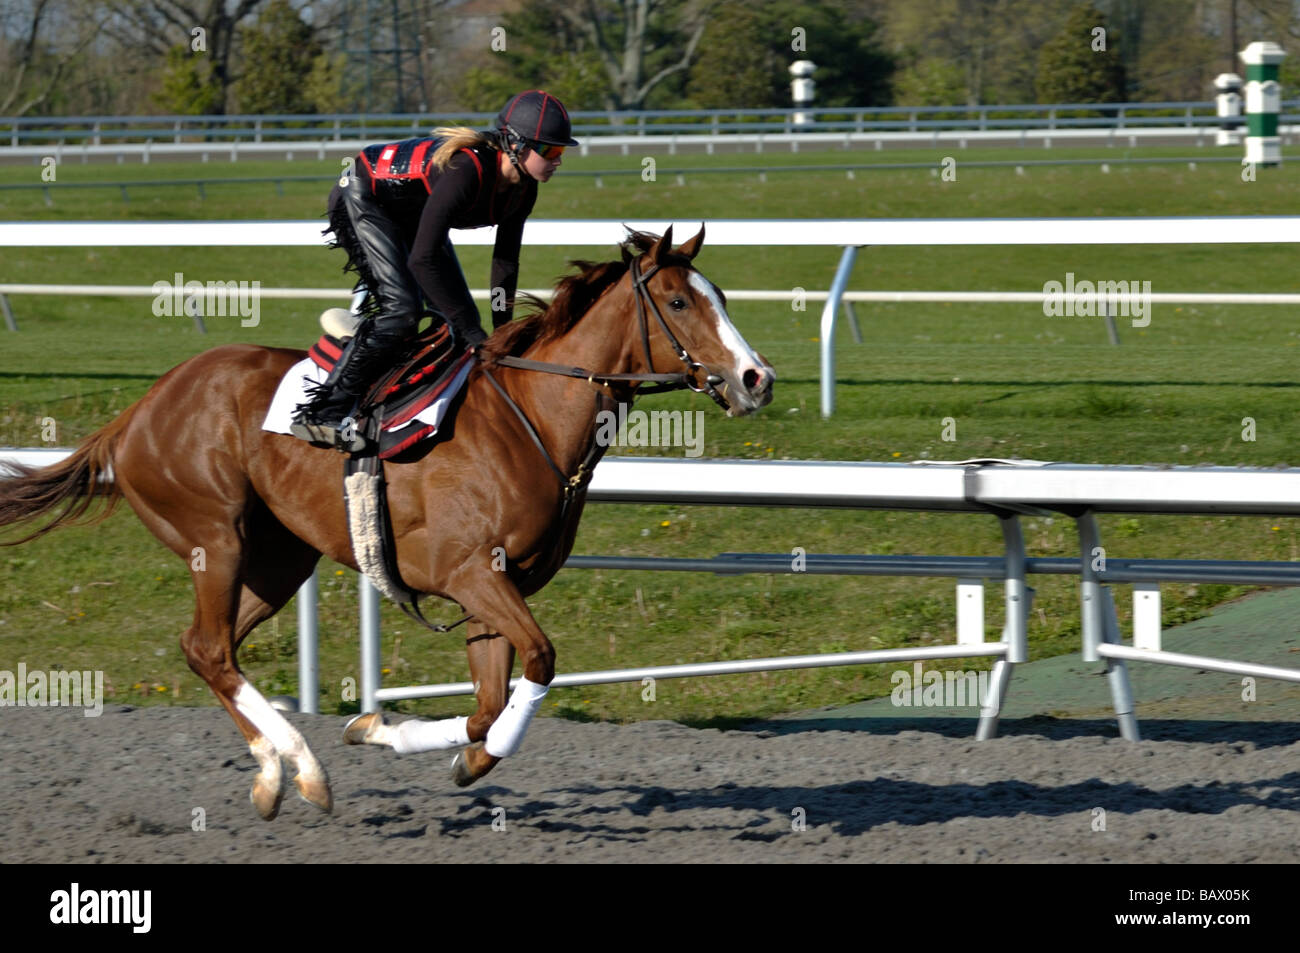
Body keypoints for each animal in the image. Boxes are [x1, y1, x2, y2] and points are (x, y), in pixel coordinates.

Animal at [0, 226, 775, 820]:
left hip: (279, 557)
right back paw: (303, 772)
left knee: (206, 649)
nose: (756, 378)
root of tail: (139, 409)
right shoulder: (471, 574)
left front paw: (397, 735)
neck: (528, 420)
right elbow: (538, 665)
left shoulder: (495, 592)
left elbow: (486, 705)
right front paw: (439, 745)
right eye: (679, 300)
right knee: (211, 649)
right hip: (214, 539)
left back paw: (275, 774)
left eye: (721, 296)